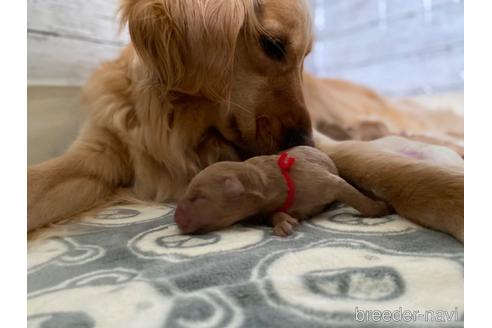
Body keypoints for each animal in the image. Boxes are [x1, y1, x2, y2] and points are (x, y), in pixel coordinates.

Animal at [175, 146, 390, 236]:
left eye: (198, 197)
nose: (176, 219)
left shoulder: (322, 181)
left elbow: (351, 192)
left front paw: (380, 207)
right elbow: (275, 214)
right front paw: (283, 222)